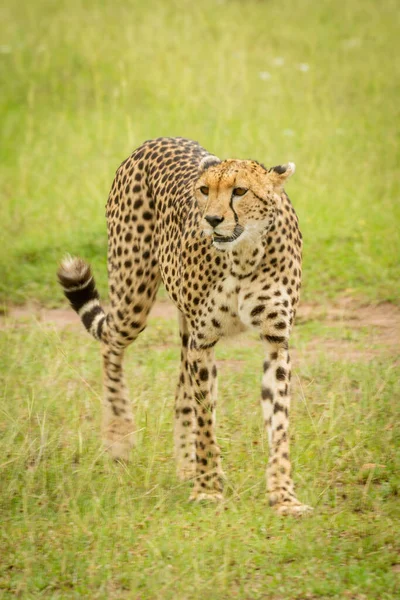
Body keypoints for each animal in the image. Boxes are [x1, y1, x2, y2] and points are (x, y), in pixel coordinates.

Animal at [57, 136, 312, 516]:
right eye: (204, 190)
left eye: (240, 191)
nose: (212, 219)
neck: (244, 253)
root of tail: (157, 140)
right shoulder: (204, 341)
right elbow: (205, 418)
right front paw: (207, 489)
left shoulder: (275, 341)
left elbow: (278, 424)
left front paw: (283, 496)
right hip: (134, 297)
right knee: (110, 345)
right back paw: (119, 435)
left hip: (184, 327)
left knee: (181, 390)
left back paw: (186, 466)